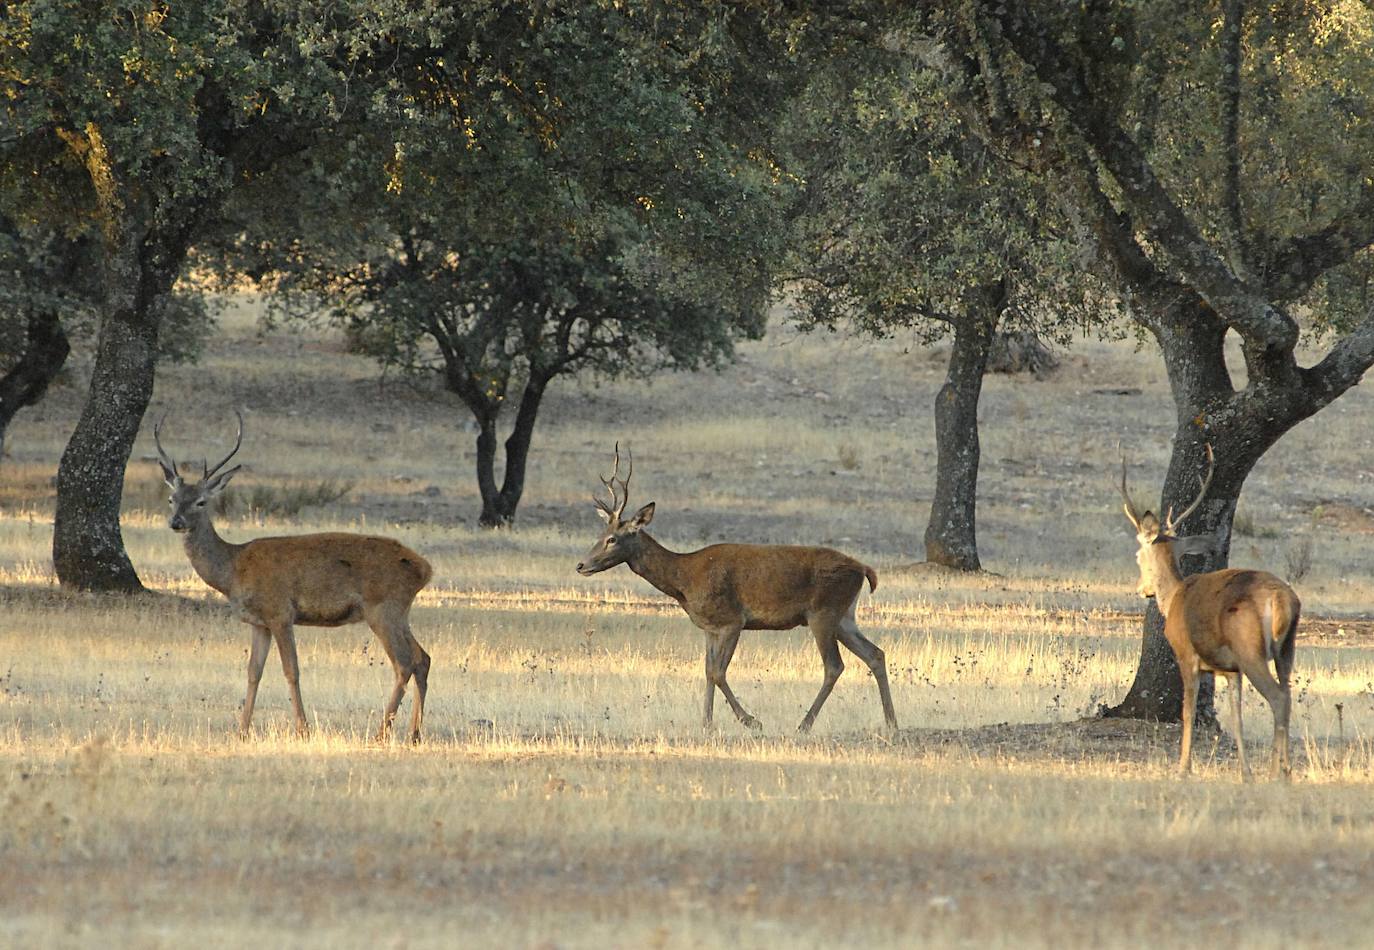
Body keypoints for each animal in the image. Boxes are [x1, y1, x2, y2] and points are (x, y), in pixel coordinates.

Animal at [156, 412, 434, 743]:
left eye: (201, 501)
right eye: (172, 498)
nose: (176, 522)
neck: (233, 570)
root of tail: (425, 569)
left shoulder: (280, 612)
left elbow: (292, 670)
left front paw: (303, 729)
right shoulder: (259, 622)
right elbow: (253, 672)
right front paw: (242, 729)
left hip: (382, 607)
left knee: (404, 663)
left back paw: (382, 732)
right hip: (399, 611)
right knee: (423, 657)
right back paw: (415, 733)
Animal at [575, 444, 898, 734]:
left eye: (613, 539)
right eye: (601, 533)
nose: (581, 565)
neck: (684, 581)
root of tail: (864, 569)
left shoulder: (732, 619)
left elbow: (719, 672)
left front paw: (750, 720)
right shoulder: (709, 627)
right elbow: (707, 671)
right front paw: (706, 724)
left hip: (823, 611)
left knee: (834, 665)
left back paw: (804, 724)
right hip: (845, 616)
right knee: (875, 654)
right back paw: (892, 723)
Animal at [1118, 444, 1299, 779]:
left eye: (1137, 555)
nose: (1142, 589)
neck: (1174, 597)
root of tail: (1282, 599)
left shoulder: (1187, 654)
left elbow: (1187, 712)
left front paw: (1183, 767)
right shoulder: (1229, 670)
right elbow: (1236, 717)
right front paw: (1244, 771)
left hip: (1249, 648)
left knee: (1279, 698)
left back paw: (1276, 772)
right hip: (1286, 649)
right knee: (1288, 694)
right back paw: (1284, 769)